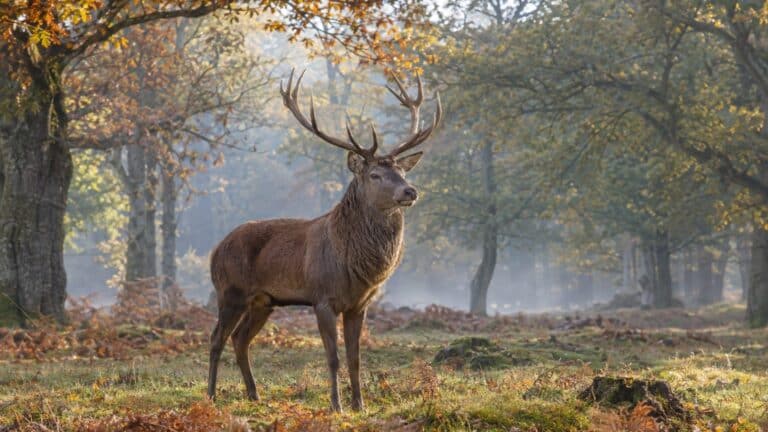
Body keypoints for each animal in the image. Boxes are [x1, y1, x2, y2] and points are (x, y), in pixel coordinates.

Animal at [206, 69, 442, 412]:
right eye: (375, 175)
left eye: (401, 170)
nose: (409, 191)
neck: (355, 265)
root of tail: (215, 250)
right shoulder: (322, 298)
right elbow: (333, 358)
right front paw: (336, 405)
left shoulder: (360, 304)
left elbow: (355, 359)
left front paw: (360, 405)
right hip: (230, 291)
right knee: (216, 338)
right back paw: (210, 396)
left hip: (263, 301)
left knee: (240, 338)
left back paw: (254, 394)